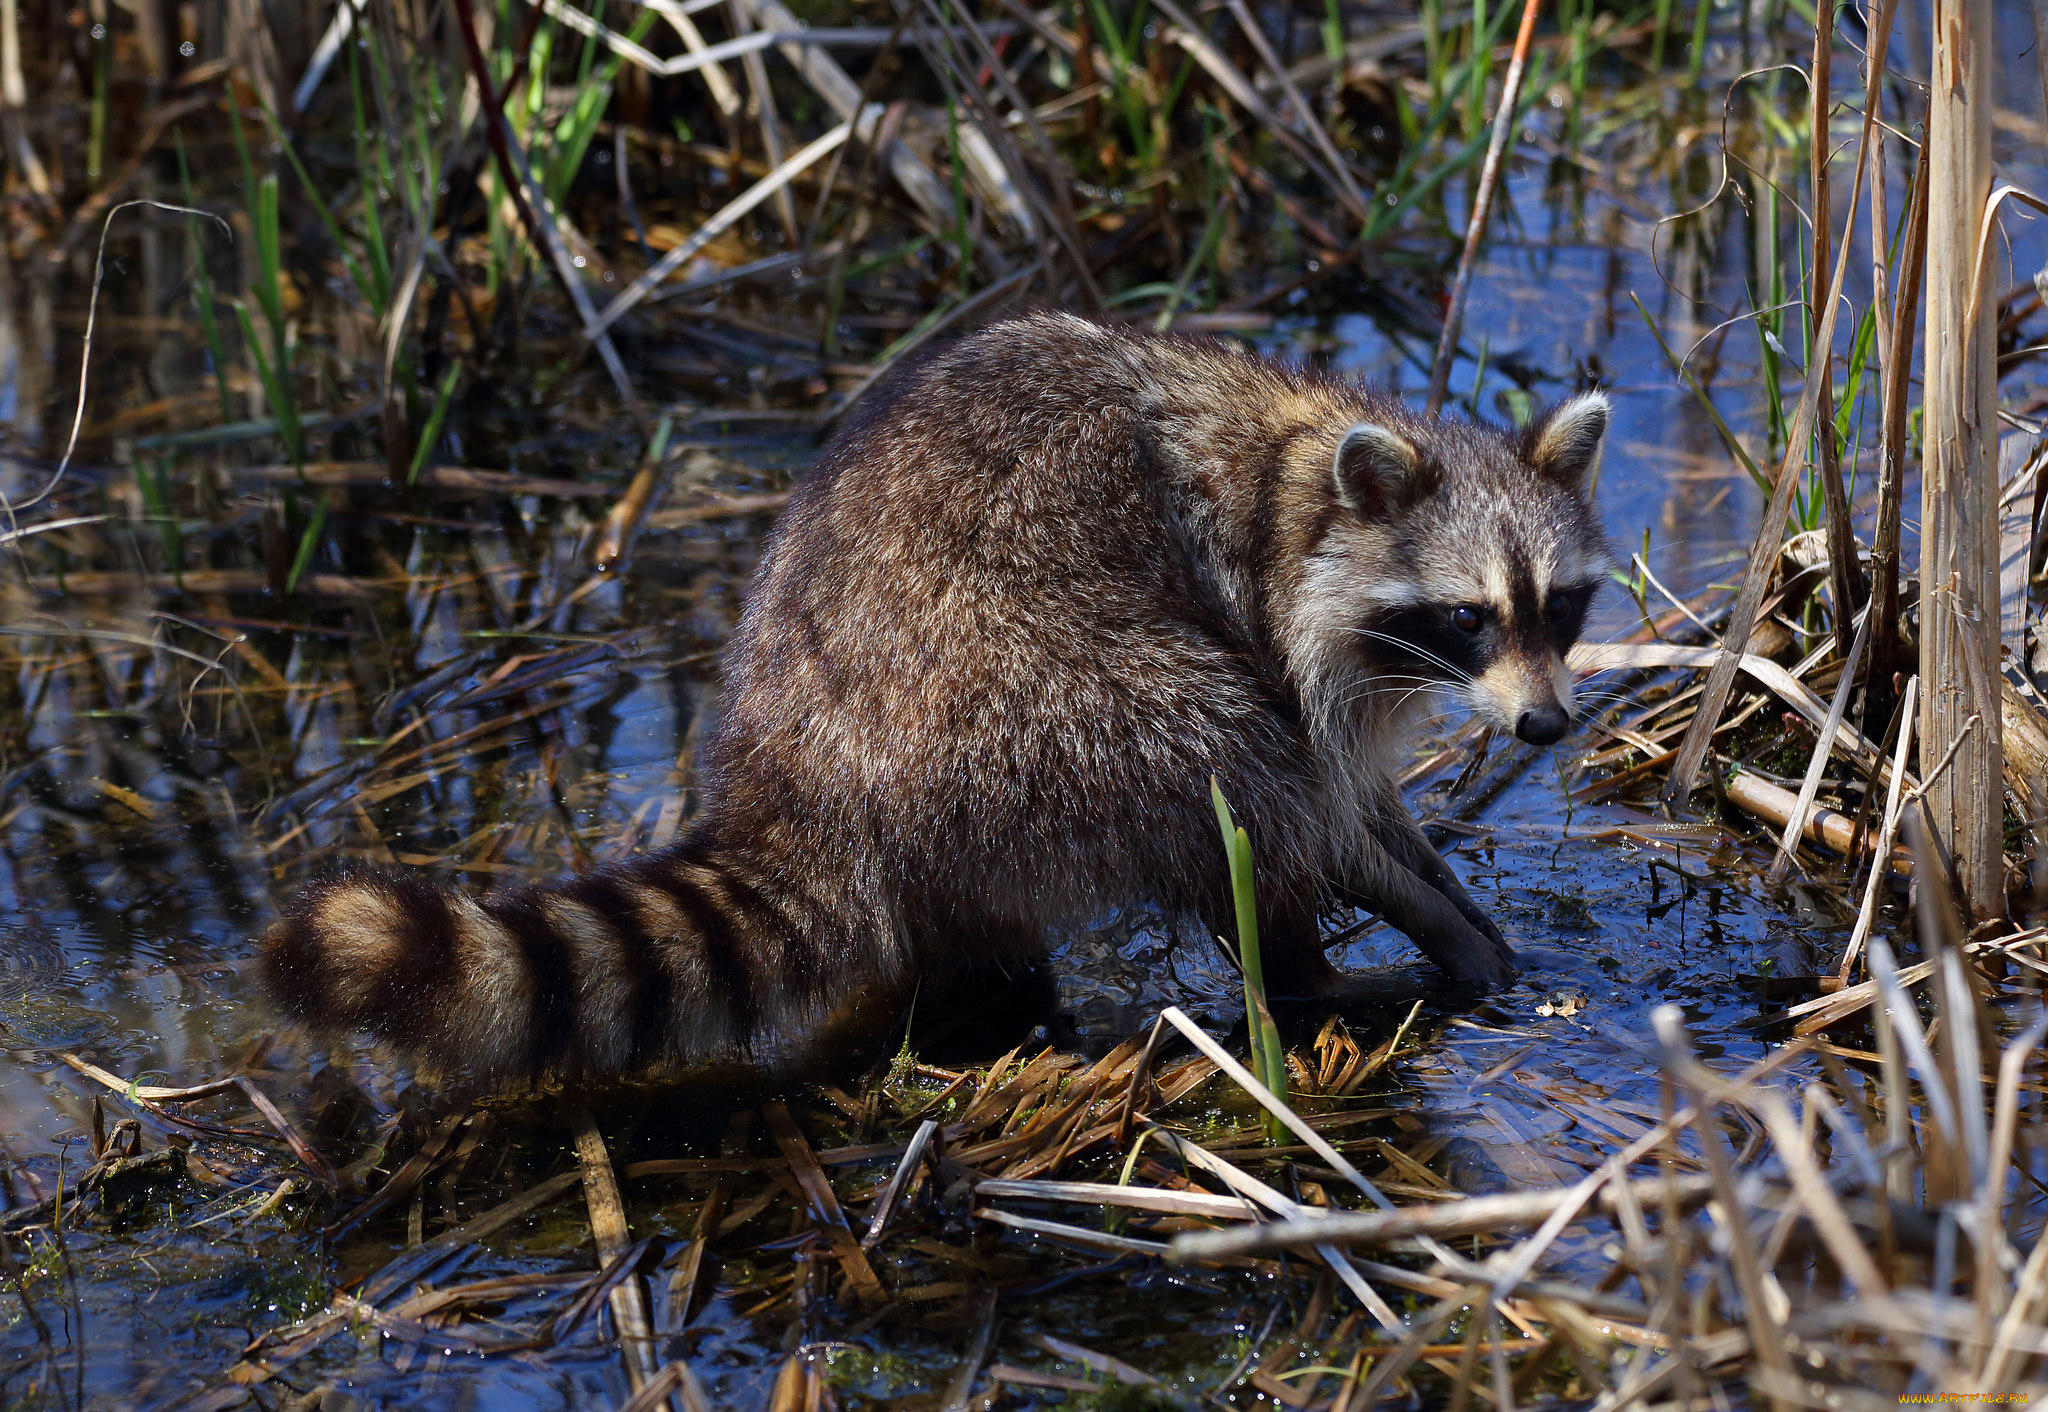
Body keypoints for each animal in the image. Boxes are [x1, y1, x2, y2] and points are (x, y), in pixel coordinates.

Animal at [256, 311, 1605, 1082]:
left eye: (1557, 607)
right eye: (1465, 615)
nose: (1543, 725)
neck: (1304, 457)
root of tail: (792, 771)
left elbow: (1366, 797)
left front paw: (1441, 888)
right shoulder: (1266, 611)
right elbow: (1308, 791)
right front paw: (1399, 903)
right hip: (1019, 708)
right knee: (1211, 752)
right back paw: (1305, 976)